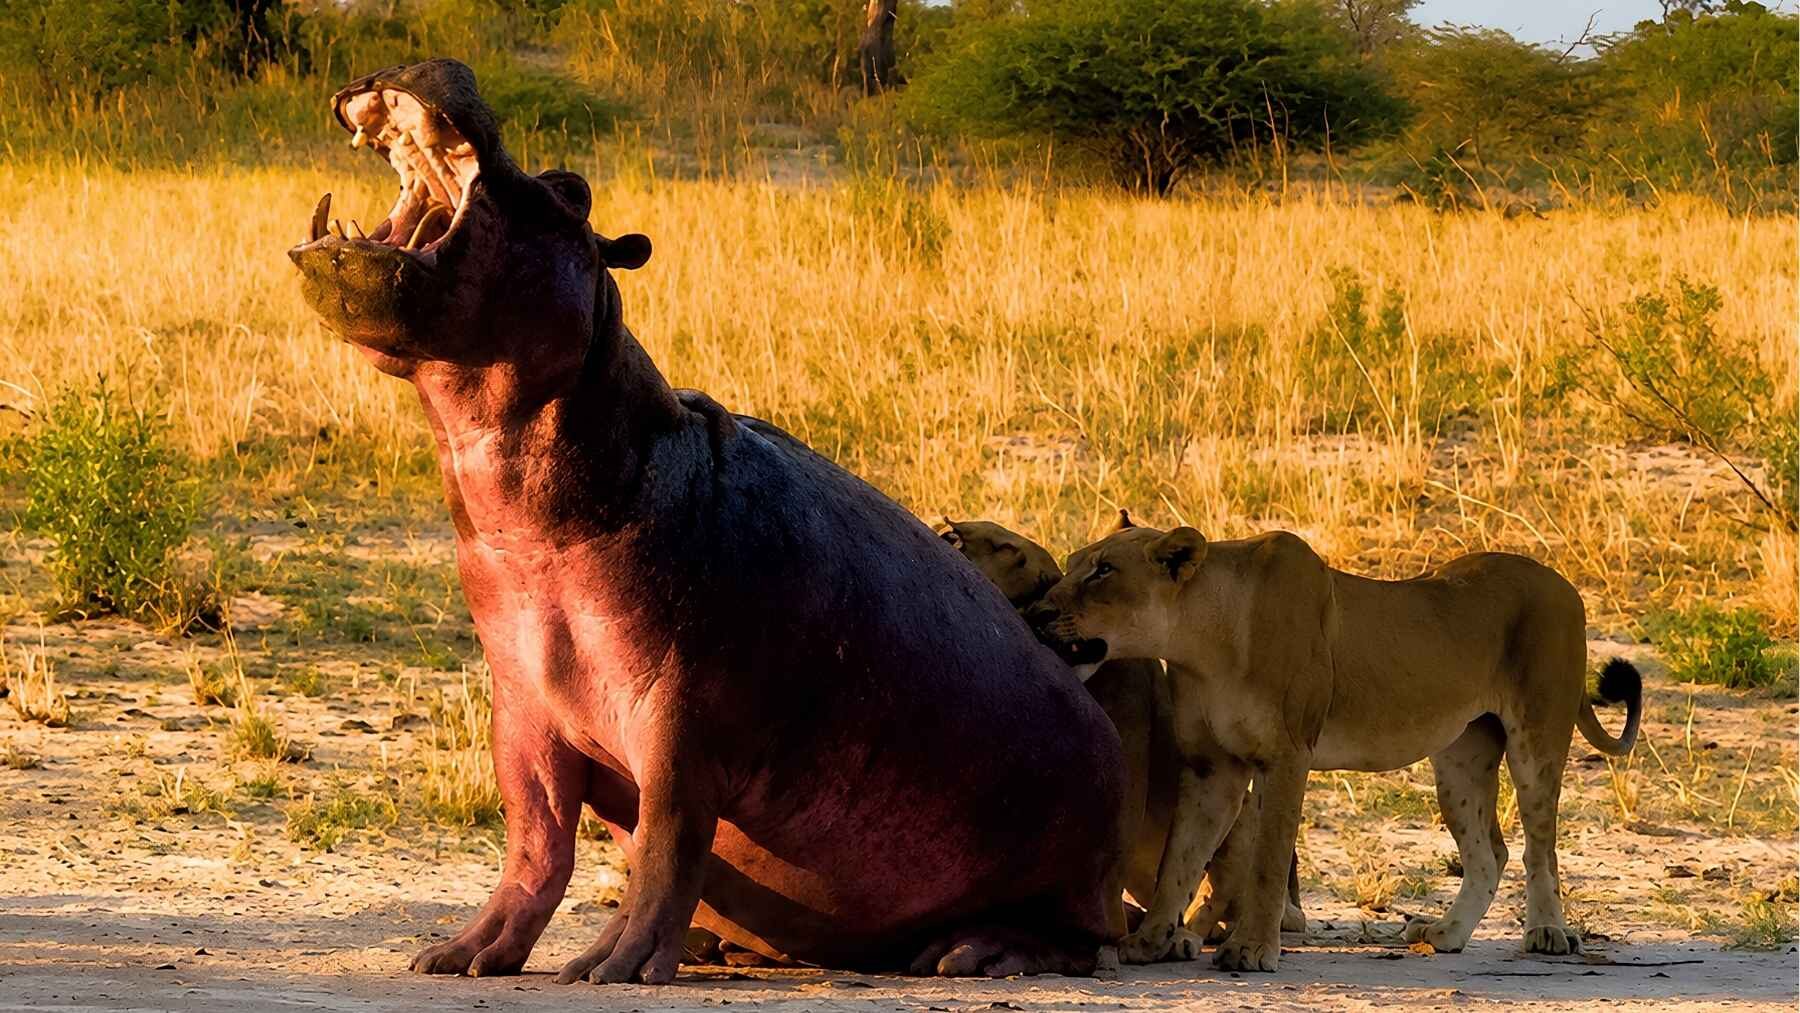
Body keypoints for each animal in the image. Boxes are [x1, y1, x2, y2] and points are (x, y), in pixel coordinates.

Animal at [286, 59, 1126, 985]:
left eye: (571, 190)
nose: (441, 66)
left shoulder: (682, 717)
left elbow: (666, 844)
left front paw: (610, 967)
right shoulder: (523, 708)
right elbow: (534, 843)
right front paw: (461, 954)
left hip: (1076, 871)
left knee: (1080, 940)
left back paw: (969, 952)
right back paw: (729, 945)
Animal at [1026, 523, 1642, 972]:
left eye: (1104, 569)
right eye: (1075, 560)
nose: (1035, 613)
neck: (1198, 643)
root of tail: (1562, 583)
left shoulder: (1287, 755)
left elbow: (1268, 858)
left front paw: (1251, 950)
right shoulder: (1211, 767)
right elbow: (1180, 856)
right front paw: (1152, 941)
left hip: (1537, 736)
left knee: (1540, 844)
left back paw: (1547, 932)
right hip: (1460, 759)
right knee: (1490, 851)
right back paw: (1446, 933)